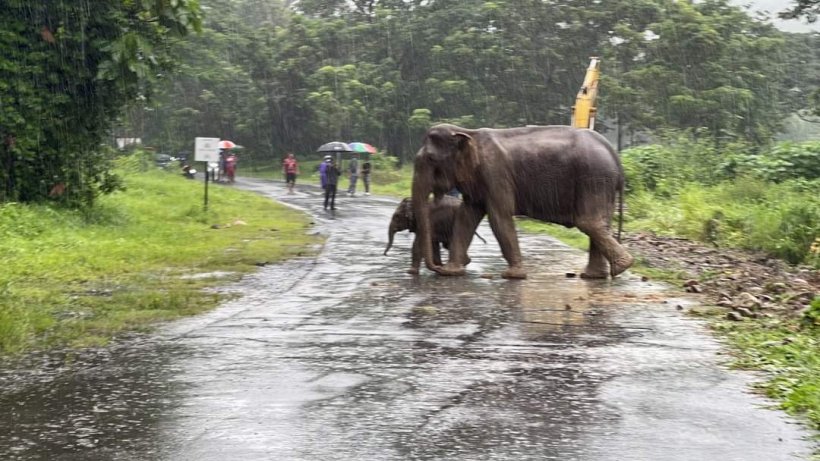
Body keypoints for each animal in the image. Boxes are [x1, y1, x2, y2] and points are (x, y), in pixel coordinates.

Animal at [410, 122, 636, 278]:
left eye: (431, 159)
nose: (437, 267)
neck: (467, 132)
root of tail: (614, 153)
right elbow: (466, 217)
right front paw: (452, 272)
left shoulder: (495, 174)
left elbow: (499, 217)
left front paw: (513, 276)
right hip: (601, 181)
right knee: (601, 223)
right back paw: (595, 276)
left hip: (593, 177)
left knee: (589, 222)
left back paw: (622, 266)